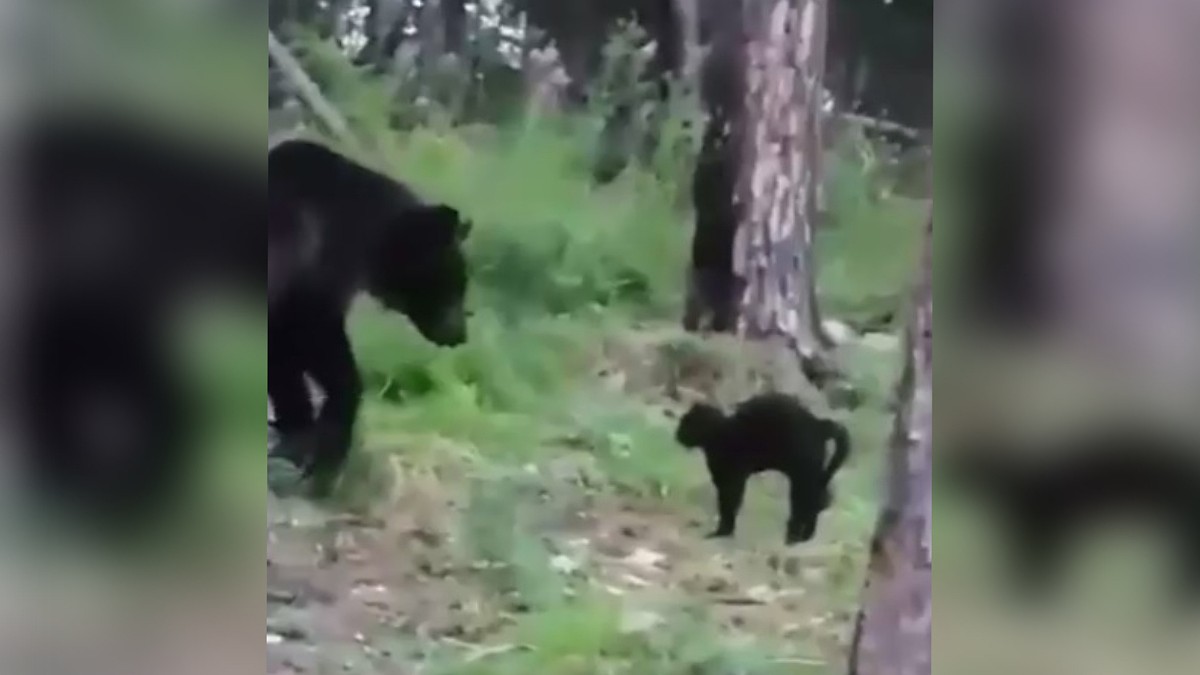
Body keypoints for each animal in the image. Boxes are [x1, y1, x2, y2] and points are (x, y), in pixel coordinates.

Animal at [676, 391, 854, 542]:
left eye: (685, 422)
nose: (677, 435)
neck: (718, 434)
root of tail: (818, 423)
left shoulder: (731, 479)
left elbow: (728, 504)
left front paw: (722, 531)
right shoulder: (724, 480)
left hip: (803, 477)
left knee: (807, 503)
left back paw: (796, 537)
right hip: (809, 476)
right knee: (816, 500)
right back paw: (802, 536)